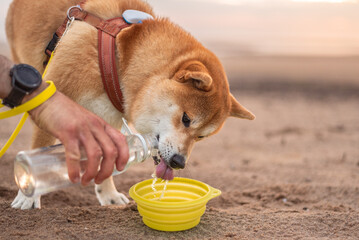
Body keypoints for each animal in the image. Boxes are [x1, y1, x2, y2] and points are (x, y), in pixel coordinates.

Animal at [6, 0, 253, 209]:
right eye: (186, 119)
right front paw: (28, 196)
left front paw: (108, 195)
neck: (120, 60)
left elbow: (108, 160)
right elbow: (42, 144)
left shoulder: (109, 118)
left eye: (201, 136)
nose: (179, 162)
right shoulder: (54, 98)